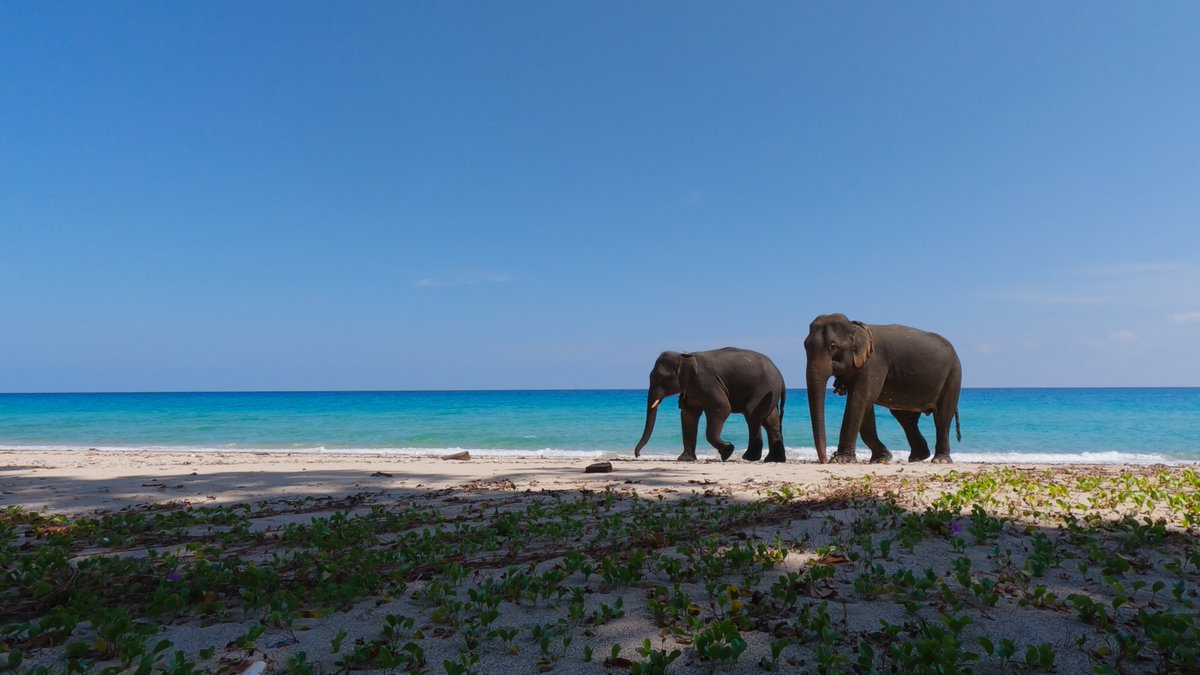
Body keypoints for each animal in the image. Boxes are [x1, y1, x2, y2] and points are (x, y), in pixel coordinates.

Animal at [633, 348, 787, 462]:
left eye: (660, 376)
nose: (638, 455)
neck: (684, 356)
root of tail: (780, 375)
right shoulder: (691, 389)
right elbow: (688, 416)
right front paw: (685, 459)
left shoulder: (707, 382)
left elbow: (722, 408)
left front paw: (728, 451)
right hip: (770, 391)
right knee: (770, 420)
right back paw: (773, 460)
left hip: (764, 388)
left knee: (752, 413)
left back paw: (749, 457)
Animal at [804, 314, 961, 464]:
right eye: (805, 345)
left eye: (833, 345)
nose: (825, 460)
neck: (854, 326)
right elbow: (865, 406)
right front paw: (882, 458)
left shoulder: (873, 363)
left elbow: (859, 401)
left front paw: (841, 460)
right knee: (905, 418)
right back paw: (918, 457)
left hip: (953, 376)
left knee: (942, 416)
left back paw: (940, 460)